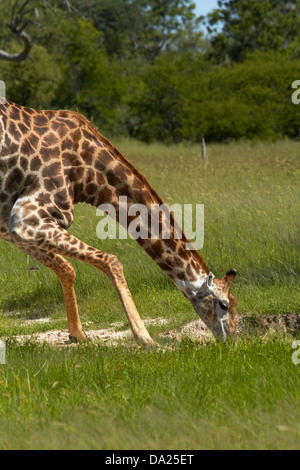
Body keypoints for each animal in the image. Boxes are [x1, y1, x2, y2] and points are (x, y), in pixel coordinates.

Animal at [0, 98, 238, 346]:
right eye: (224, 304)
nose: (232, 340)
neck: (88, 175)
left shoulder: (9, 226)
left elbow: (67, 268)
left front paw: (77, 334)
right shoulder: (26, 216)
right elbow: (111, 260)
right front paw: (145, 338)